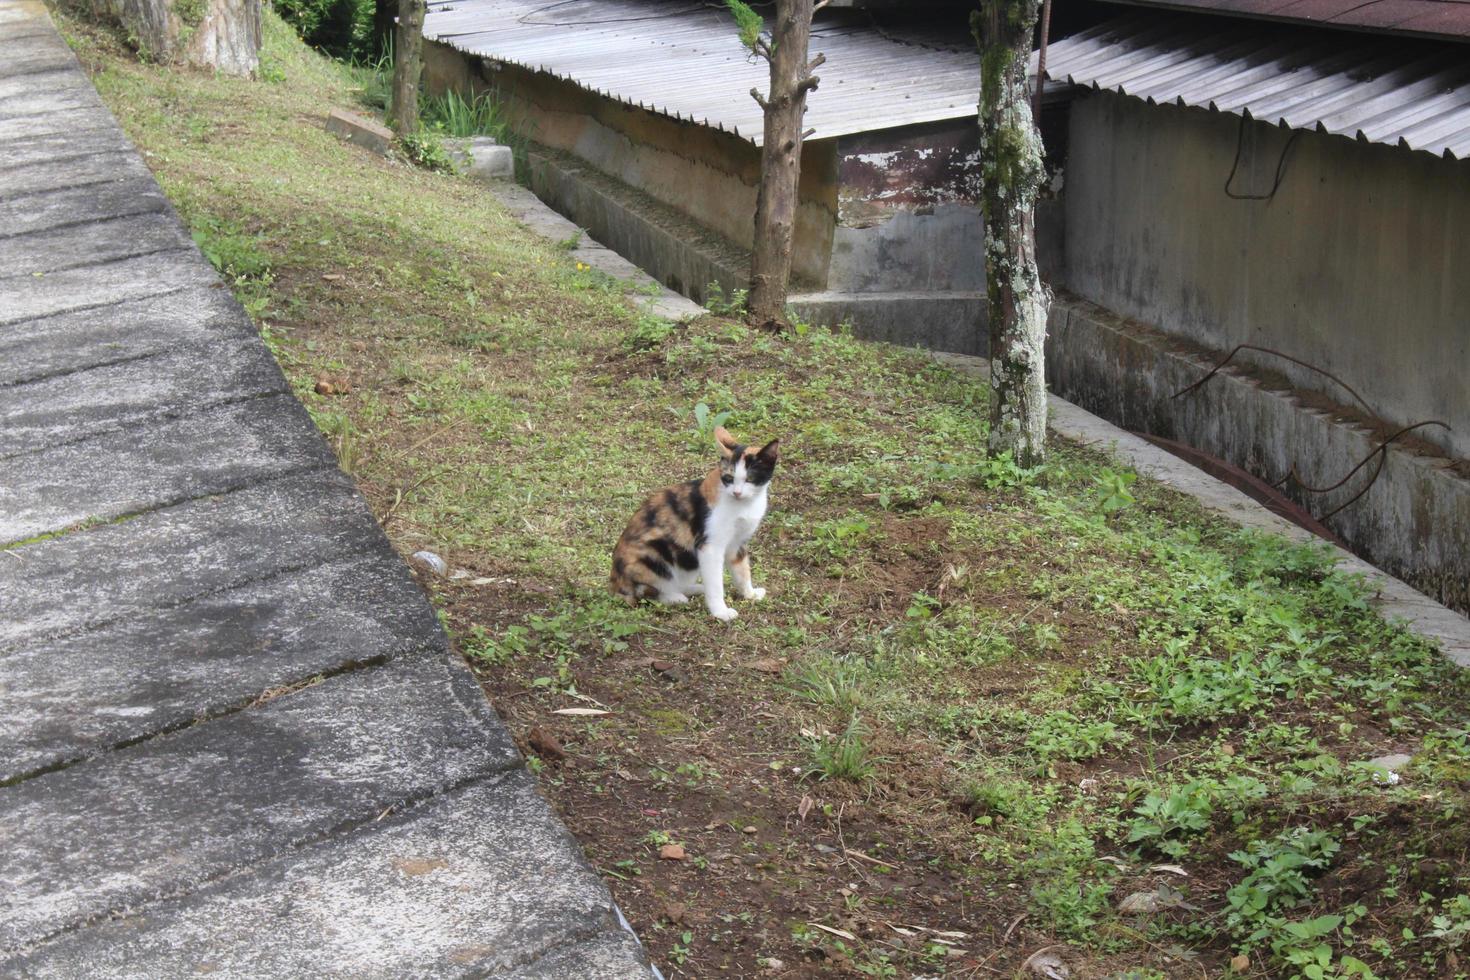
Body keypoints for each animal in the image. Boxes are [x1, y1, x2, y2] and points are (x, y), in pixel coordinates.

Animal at [611, 426, 782, 620]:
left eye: (750, 479)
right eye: (729, 478)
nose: (737, 492)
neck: (744, 505)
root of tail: (614, 585)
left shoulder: (737, 543)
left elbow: (742, 571)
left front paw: (750, 594)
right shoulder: (710, 547)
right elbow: (715, 584)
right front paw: (720, 612)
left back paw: (695, 589)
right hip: (653, 555)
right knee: (643, 592)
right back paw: (674, 598)